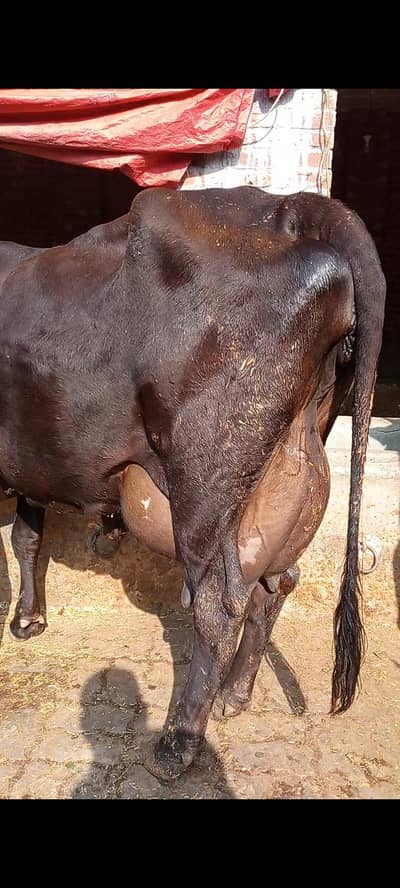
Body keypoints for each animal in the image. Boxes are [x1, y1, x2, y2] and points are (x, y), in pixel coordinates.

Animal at [0, 186, 385, 780]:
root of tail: (289, 207)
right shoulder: (32, 459)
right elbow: (27, 535)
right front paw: (28, 619)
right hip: (292, 466)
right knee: (275, 583)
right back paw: (233, 696)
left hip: (204, 475)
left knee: (219, 602)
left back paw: (177, 742)